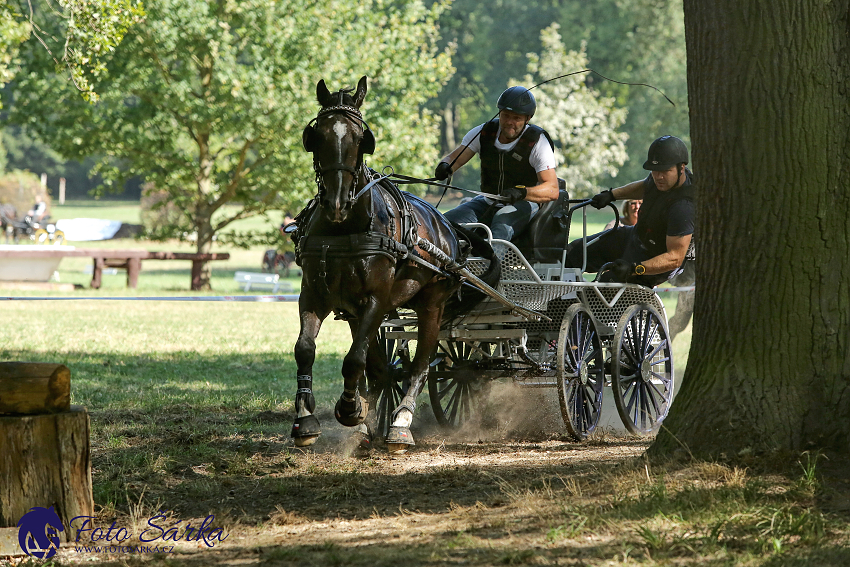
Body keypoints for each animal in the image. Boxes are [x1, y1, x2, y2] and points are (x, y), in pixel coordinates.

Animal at [292, 75, 496, 454]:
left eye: (361, 138)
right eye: (318, 136)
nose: (336, 203)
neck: (344, 228)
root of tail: (448, 227)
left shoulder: (376, 299)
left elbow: (354, 360)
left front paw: (350, 409)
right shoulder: (315, 297)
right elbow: (306, 351)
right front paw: (307, 420)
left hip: (431, 306)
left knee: (421, 366)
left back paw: (400, 423)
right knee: (380, 367)